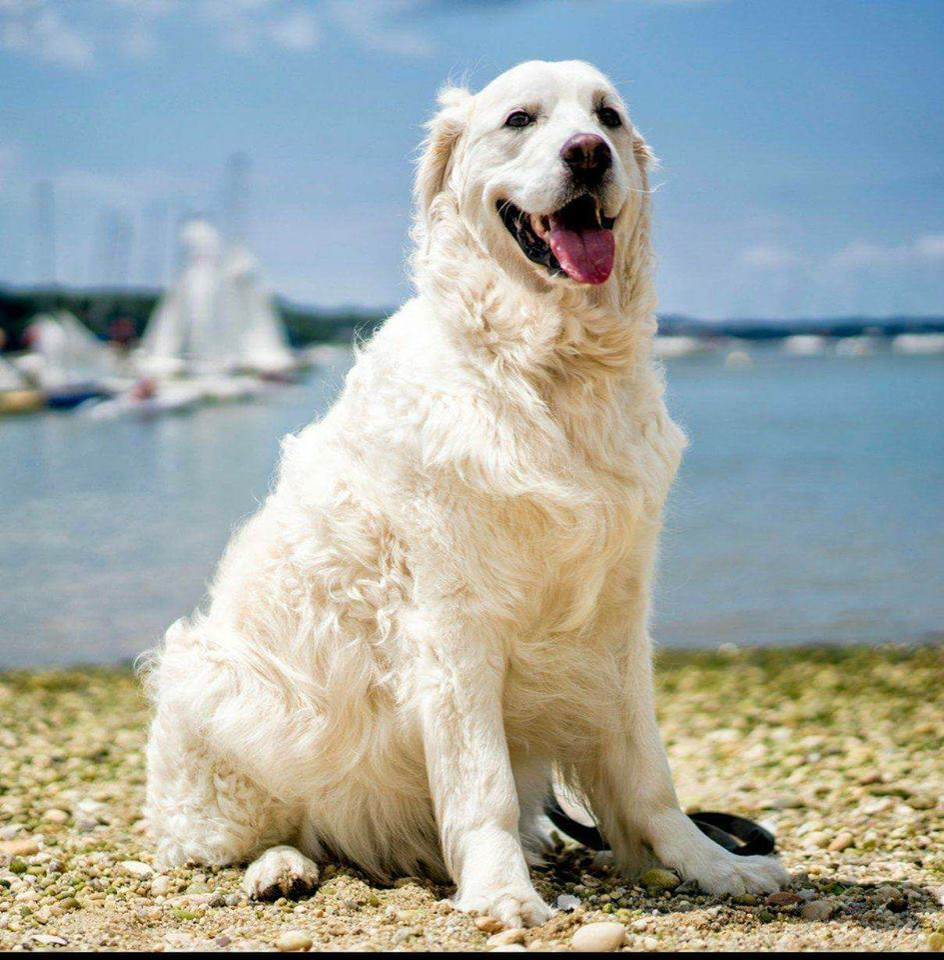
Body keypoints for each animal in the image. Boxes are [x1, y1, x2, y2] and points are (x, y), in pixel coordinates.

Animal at [142, 58, 788, 924]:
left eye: (608, 118)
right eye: (520, 119)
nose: (588, 155)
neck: (545, 369)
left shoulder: (619, 616)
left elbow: (647, 775)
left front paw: (711, 864)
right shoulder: (451, 624)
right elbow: (483, 786)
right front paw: (503, 893)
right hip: (214, 686)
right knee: (247, 836)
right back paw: (280, 868)